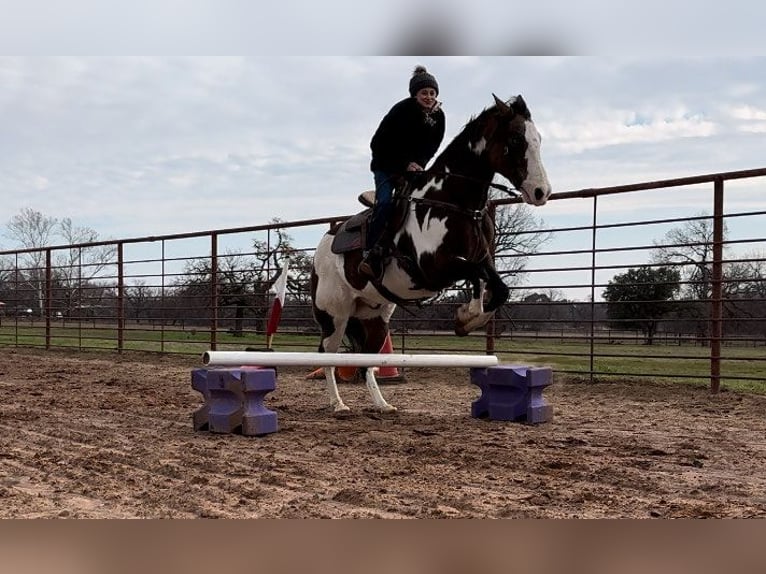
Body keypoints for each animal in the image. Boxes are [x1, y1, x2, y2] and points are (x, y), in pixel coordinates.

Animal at [310, 97, 552, 416]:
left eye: (539, 140)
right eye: (515, 139)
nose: (541, 191)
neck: (452, 201)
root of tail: (321, 249)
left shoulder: (481, 260)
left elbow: (496, 286)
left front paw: (467, 319)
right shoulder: (434, 269)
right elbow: (476, 276)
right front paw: (466, 316)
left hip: (374, 320)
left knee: (366, 364)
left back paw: (382, 404)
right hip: (334, 316)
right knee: (328, 356)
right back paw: (338, 404)